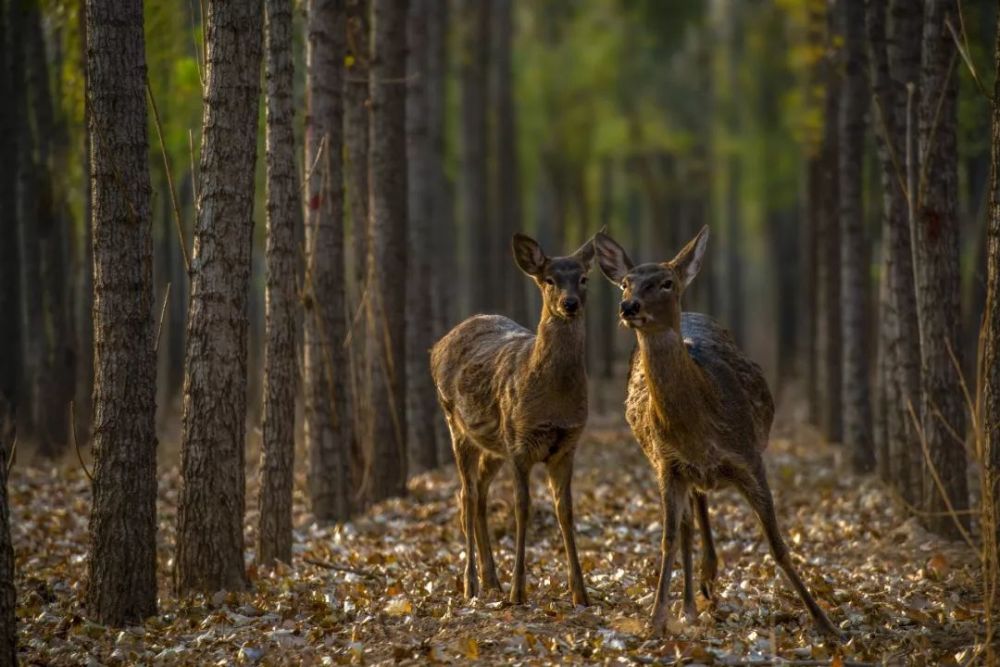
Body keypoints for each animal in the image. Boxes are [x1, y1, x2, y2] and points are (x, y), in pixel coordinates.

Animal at [428, 232, 592, 608]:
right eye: (549, 280)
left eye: (583, 278)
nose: (570, 303)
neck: (554, 401)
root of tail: (436, 347)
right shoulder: (519, 442)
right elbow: (522, 508)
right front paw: (519, 592)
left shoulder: (568, 444)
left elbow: (566, 511)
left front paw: (581, 593)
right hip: (456, 424)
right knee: (466, 496)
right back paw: (471, 584)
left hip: (493, 445)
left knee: (479, 497)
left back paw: (492, 580)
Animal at [596, 227, 840, 640]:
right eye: (626, 282)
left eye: (666, 282)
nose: (628, 306)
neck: (700, 429)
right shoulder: (667, 464)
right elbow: (668, 540)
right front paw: (656, 619)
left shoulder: (748, 457)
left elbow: (777, 544)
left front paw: (825, 621)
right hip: (675, 470)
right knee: (688, 525)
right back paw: (693, 600)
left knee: (698, 511)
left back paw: (706, 584)